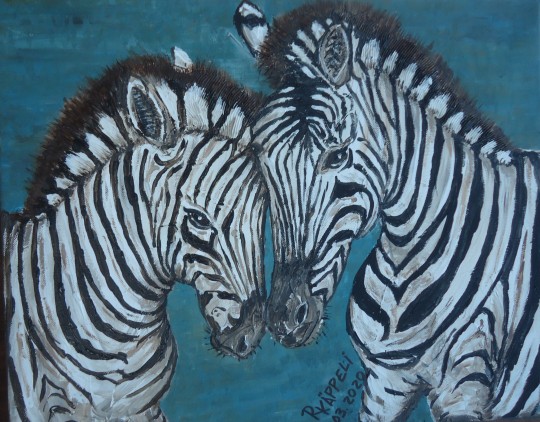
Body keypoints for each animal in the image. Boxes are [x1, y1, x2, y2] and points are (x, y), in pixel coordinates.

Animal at [235, 1, 539, 420]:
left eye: (336, 156)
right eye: (260, 156)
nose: (284, 317)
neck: (405, 267)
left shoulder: (465, 382)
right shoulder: (385, 384)